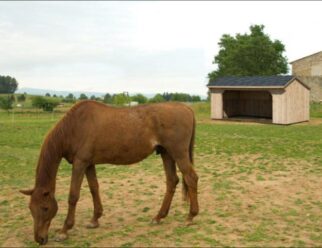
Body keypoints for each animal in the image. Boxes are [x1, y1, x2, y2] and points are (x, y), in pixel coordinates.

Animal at [20, 100, 199, 244]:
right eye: (30, 208)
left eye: (45, 208)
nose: (40, 239)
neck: (75, 127)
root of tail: (186, 108)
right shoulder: (89, 164)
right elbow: (94, 188)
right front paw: (94, 220)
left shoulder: (80, 163)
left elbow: (73, 196)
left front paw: (64, 231)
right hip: (166, 153)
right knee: (172, 181)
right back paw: (159, 216)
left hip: (178, 152)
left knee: (191, 178)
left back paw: (190, 216)